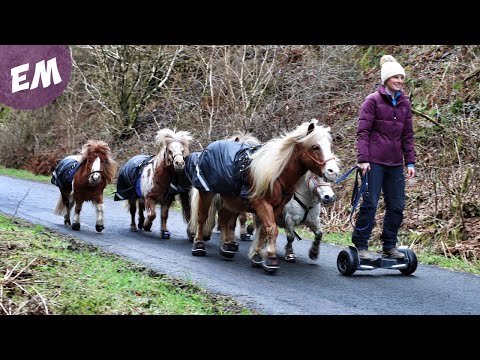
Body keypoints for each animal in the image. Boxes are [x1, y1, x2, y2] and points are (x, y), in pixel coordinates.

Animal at [186, 119, 340, 274]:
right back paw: (199, 245)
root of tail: (210, 147)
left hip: (231, 198)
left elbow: (265, 230)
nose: (333, 172)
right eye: (315, 146)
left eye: (329, 145)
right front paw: (271, 258)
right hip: (207, 192)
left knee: (225, 219)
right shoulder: (263, 204)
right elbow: (272, 229)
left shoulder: (277, 207)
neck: (277, 174)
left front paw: (257, 256)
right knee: (202, 217)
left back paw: (227, 247)